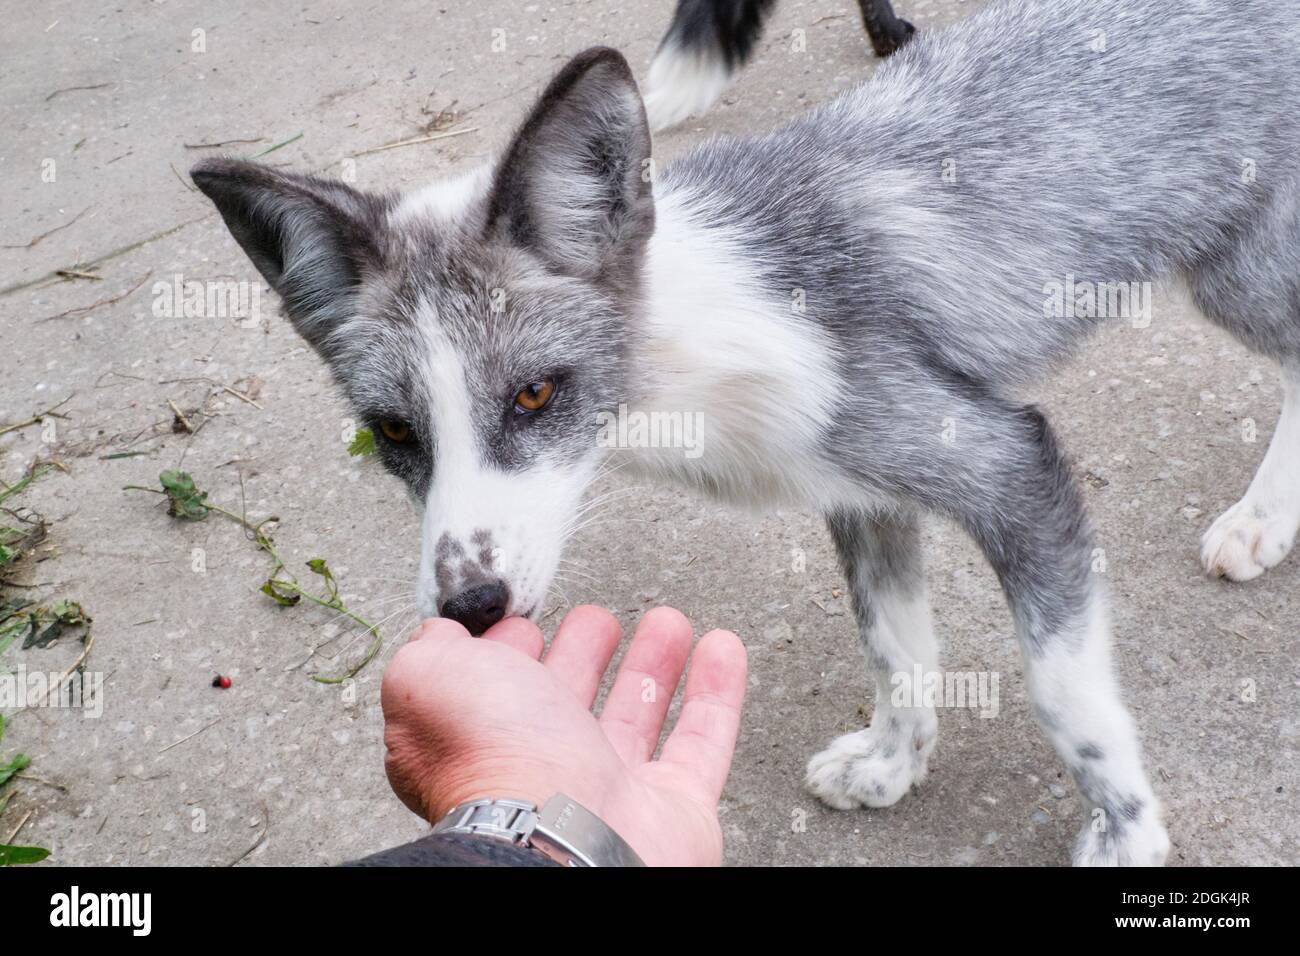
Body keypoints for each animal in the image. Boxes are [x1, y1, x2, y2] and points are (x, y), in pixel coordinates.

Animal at [192, 0, 1300, 868]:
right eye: (393, 431)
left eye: (536, 395)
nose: (470, 607)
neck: (699, 358)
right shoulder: (862, 496)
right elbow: (896, 652)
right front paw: (894, 764)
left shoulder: (1003, 461)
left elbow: (1063, 696)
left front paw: (1128, 832)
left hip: (1235, 277)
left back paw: (1259, 519)